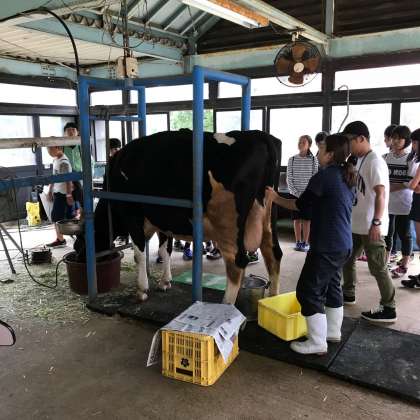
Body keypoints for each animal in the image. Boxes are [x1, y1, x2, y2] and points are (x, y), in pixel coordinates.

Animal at [75, 129, 283, 304]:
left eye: (82, 240)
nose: (79, 258)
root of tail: (259, 136)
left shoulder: (133, 215)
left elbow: (139, 254)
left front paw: (142, 290)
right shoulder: (163, 220)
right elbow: (164, 250)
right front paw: (165, 281)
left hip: (228, 225)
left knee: (237, 262)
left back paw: (226, 305)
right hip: (266, 215)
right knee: (274, 253)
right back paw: (273, 301)